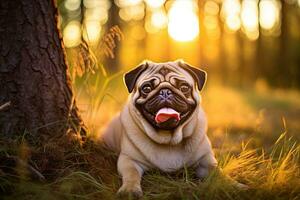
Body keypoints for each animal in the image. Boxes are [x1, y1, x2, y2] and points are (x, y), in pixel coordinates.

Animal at [102, 59, 217, 197]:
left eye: (184, 87)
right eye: (146, 88)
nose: (165, 91)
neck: (169, 141)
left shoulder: (206, 161)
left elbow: (218, 173)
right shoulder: (129, 160)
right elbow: (131, 174)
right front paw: (129, 190)